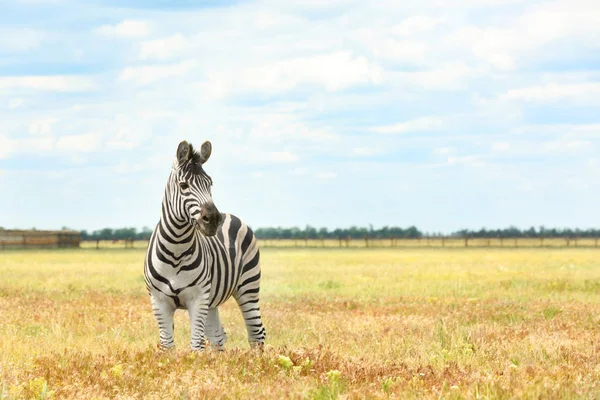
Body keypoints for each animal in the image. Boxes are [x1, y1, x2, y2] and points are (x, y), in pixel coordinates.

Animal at [143, 140, 264, 350]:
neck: (176, 250)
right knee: (218, 336)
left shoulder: (198, 298)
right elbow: (167, 345)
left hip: (248, 286)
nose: (214, 219)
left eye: (210, 183)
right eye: (183, 185)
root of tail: (229, 214)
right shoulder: (159, 301)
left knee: (257, 334)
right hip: (212, 301)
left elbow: (196, 345)